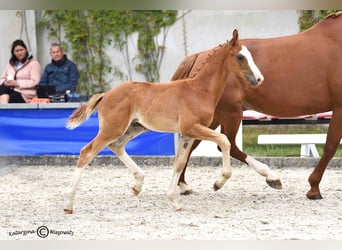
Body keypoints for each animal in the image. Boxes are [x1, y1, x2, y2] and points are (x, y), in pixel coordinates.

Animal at [62, 29, 264, 213]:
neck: (199, 91)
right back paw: (69, 203)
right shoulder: (192, 128)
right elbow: (224, 141)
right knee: (87, 152)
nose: (259, 79)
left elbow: (179, 163)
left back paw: (137, 184)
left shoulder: (188, 135)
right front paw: (218, 183)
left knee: (116, 146)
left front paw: (174, 201)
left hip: (135, 127)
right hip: (113, 128)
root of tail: (105, 94)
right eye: (240, 56)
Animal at [174, 11, 342, 200]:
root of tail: (200, 56)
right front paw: (314, 189)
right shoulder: (339, 107)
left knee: (193, 144)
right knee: (227, 144)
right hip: (231, 113)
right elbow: (330, 146)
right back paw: (269, 177)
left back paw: (183, 185)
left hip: (215, 117)